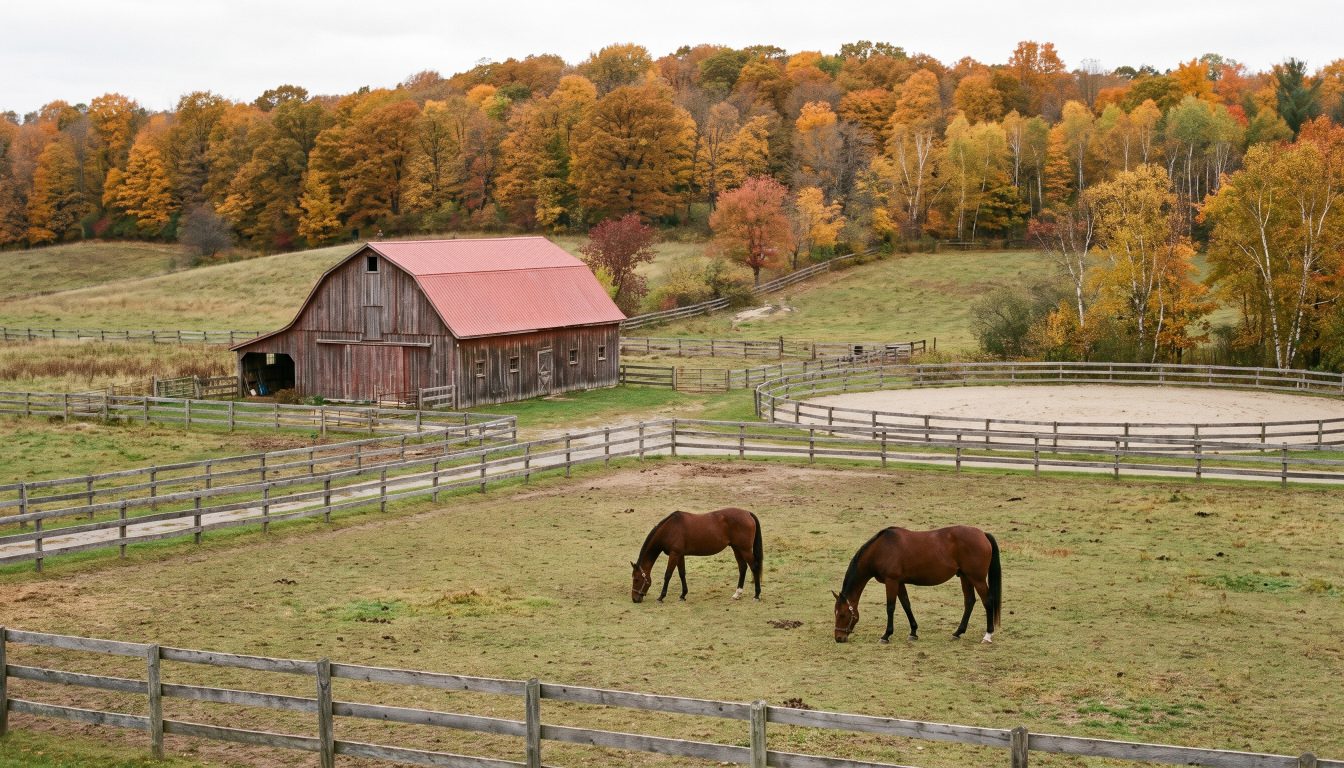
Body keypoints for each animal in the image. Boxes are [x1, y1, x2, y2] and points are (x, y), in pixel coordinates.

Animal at [630, 508, 763, 603]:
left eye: (636, 579)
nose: (635, 599)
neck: (670, 528)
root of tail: (747, 513)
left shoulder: (674, 554)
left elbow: (668, 575)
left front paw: (661, 597)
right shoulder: (680, 555)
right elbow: (682, 574)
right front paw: (683, 595)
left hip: (745, 549)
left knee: (754, 567)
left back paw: (757, 595)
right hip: (737, 548)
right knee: (743, 568)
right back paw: (737, 594)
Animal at [832, 525, 1000, 644]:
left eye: (842, 614)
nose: (838, 638)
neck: (881, 549)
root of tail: (982, 534)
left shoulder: (891, 581)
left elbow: (890, 607)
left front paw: (886, 635)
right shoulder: (899, 582)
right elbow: (906, 604)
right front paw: (913, 632)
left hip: (977, 578)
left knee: (987, 601)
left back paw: (987, 635)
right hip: (965, 577)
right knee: (969, 601)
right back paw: (957, 633)